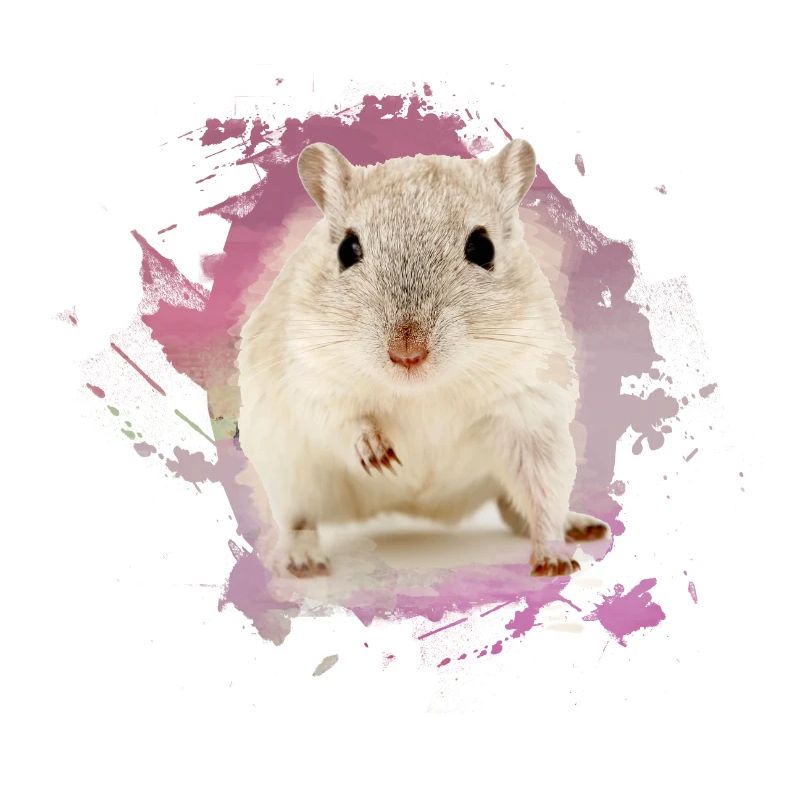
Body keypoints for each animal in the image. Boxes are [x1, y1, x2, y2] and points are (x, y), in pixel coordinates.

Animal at [237, 139, 608, 578]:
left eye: (483, 248)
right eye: (347, 250)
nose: (407, 353)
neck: (423, 391)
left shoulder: (532, 411)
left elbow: (543, 496)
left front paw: (554, 561)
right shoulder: (309, 377)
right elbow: (342, 419)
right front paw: (378, 454)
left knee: (520, 506)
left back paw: (580, 526)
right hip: (288, 474)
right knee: (299, 520)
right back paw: (303, 560)